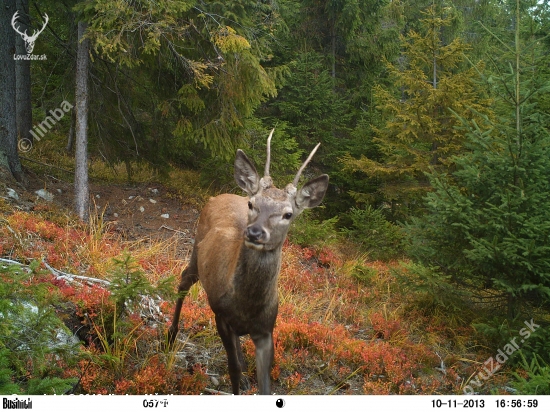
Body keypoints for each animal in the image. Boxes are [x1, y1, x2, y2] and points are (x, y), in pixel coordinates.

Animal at [168, 130, 330, 394]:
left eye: (288, 214)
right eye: (252, 204)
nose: (254, 232)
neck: (247, 305)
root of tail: (218, 195)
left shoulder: (266, 330)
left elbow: (265, 385)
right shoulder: (221, 315)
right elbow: (232, 369)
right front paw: (238, 377)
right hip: (196, 248)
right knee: (183, 280)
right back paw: (171, 335)